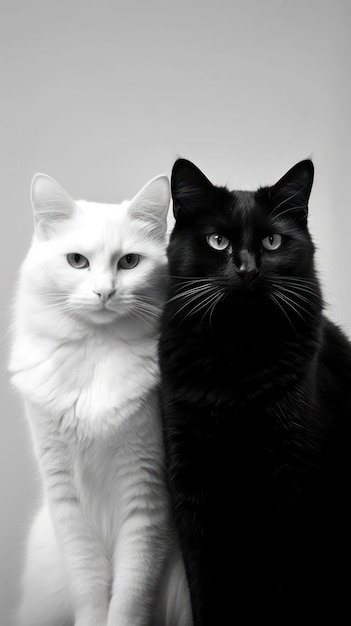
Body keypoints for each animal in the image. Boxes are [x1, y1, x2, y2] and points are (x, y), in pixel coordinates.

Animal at [9, 172, 192, 624]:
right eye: (77, 261)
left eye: (129, 262)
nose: (105, 292)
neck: (97, 349)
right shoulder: (67, 502)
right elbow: (91, 589)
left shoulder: (147, 497)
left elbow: (129, 596)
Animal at [160, 158, 351, 620]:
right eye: (217, 241)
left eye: (272, 240)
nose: (247, 269)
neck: (236, 359)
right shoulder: (191, 488)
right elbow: (206, 588)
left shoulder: (293, 496)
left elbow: (280, 589)